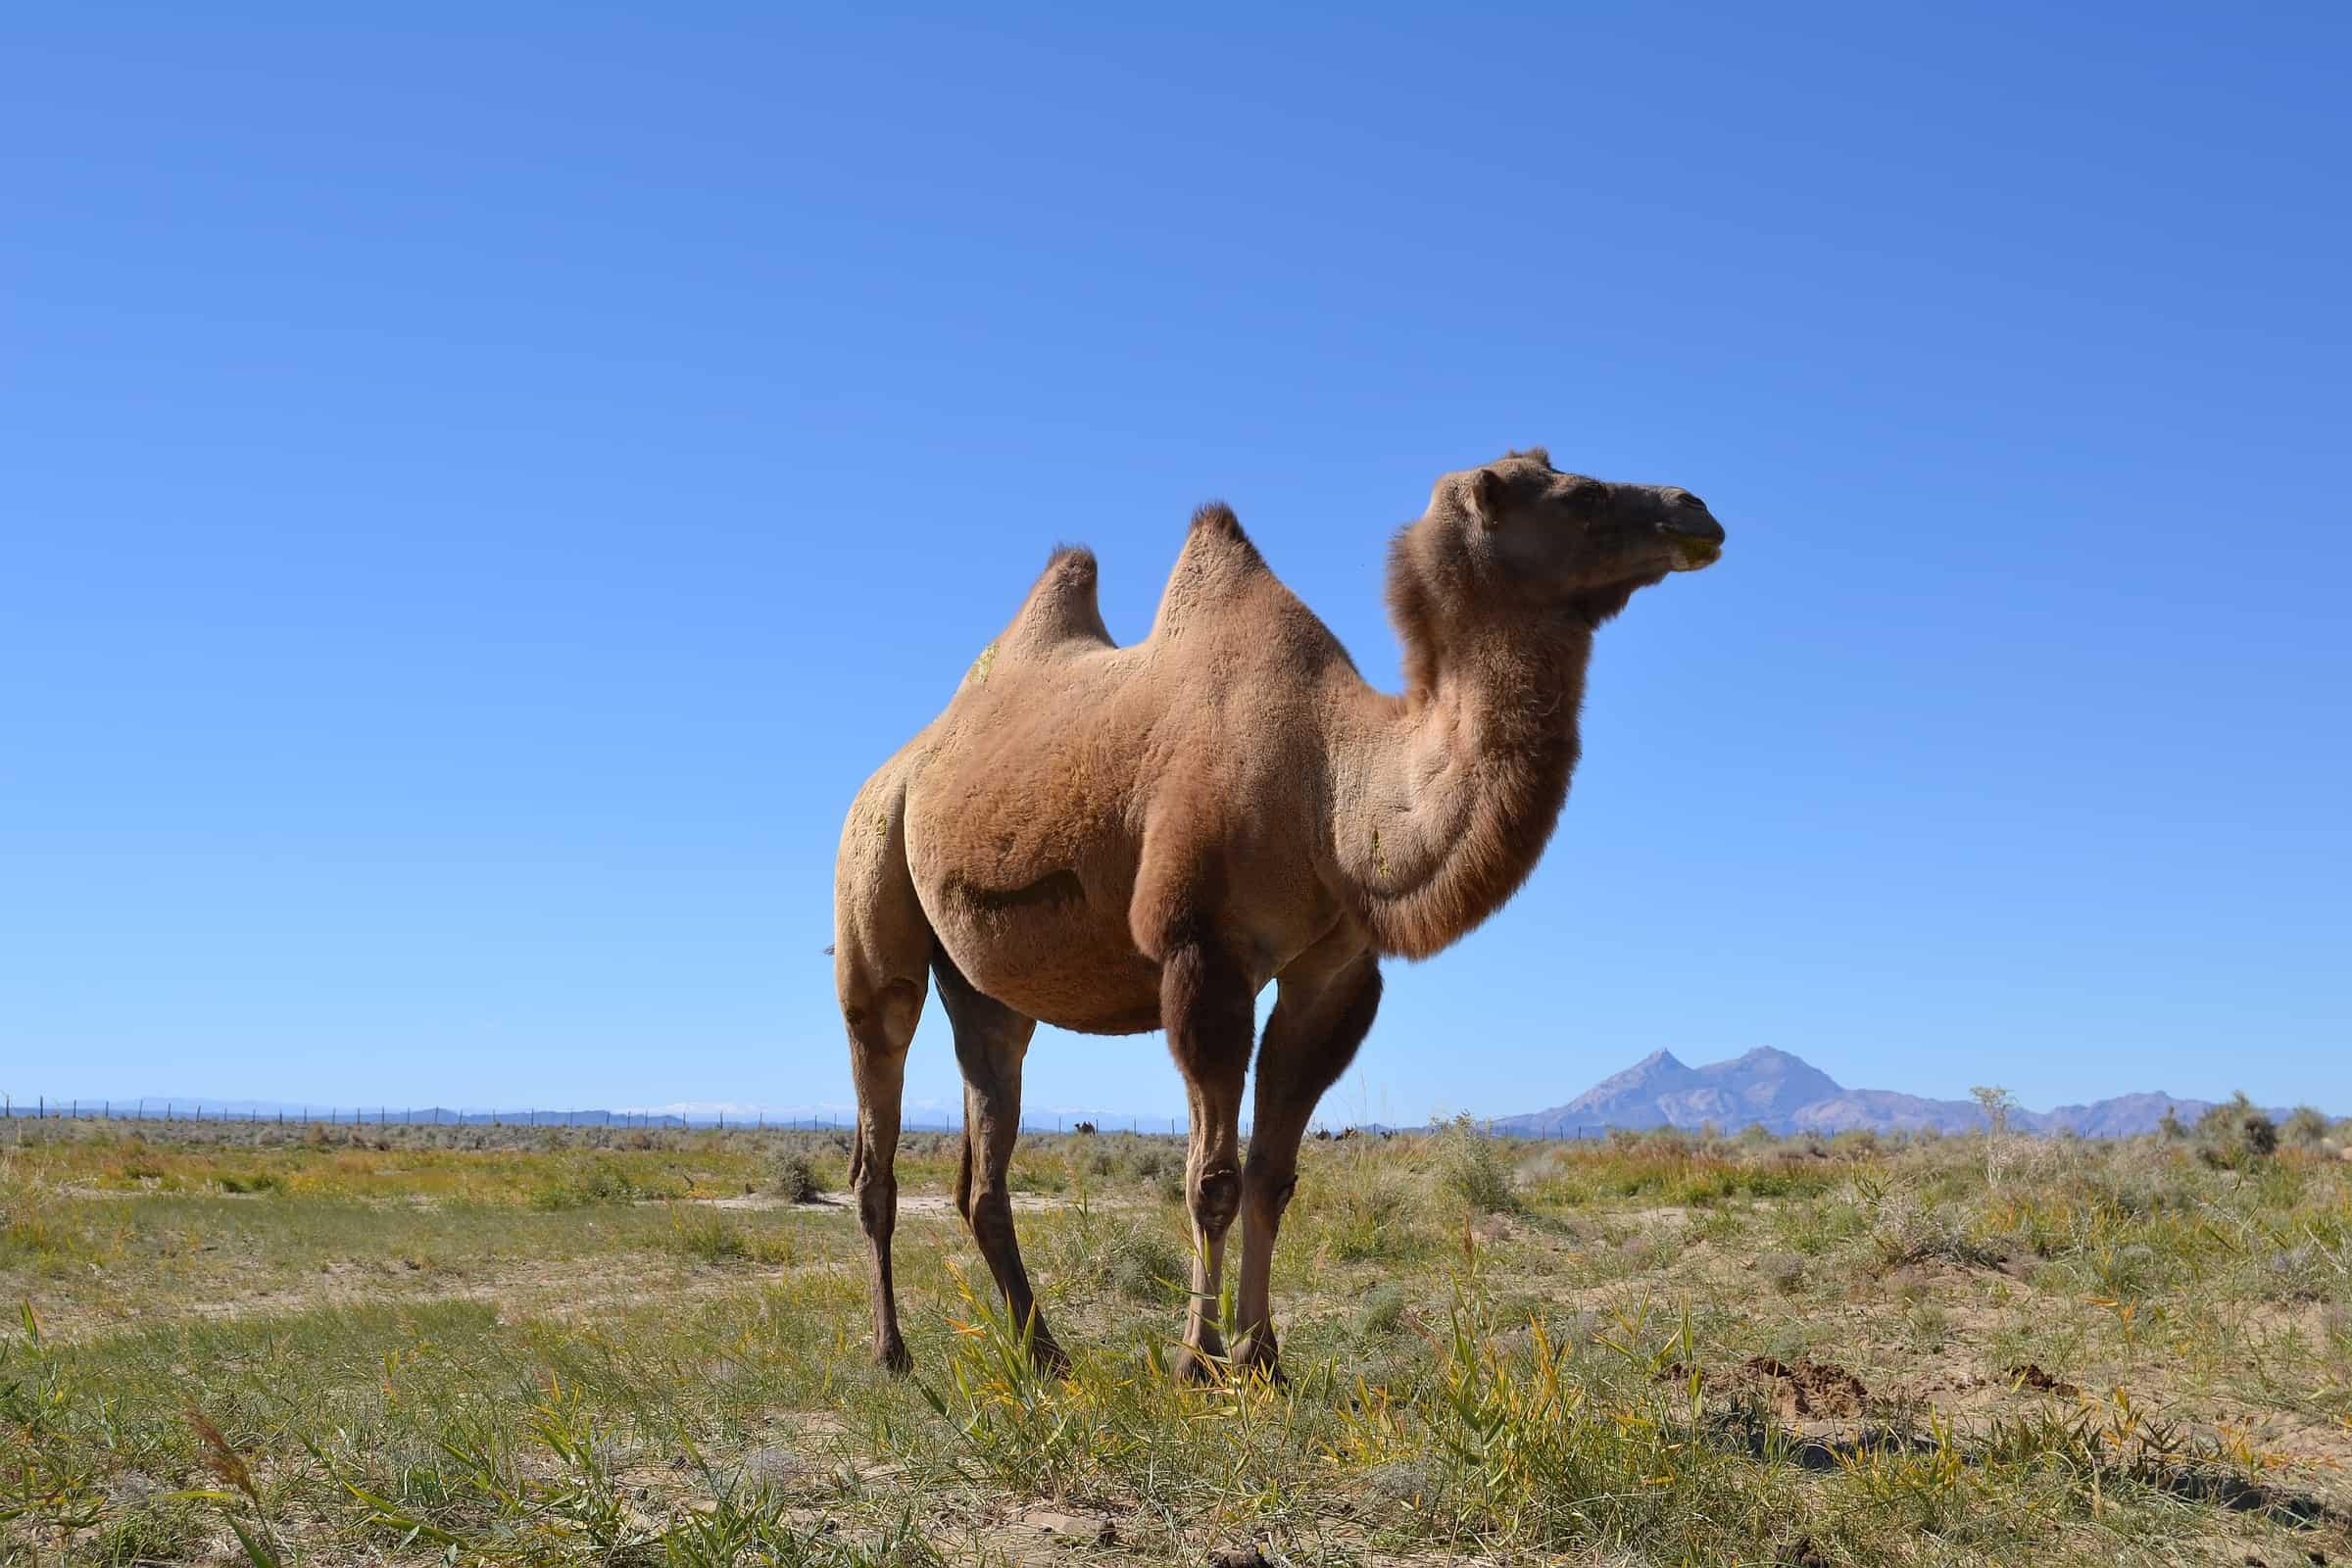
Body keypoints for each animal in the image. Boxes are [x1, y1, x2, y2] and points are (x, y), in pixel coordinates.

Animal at [837, 446, 1721, 1382]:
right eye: (1580, 495)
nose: (1695, 508)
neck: (1329, 782)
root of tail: (900, 764)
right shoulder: (1204, 953)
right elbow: (1211, 1178)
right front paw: (1196, 1360)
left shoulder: (1331, 975)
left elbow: (1273, 1174)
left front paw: (1263, 1357)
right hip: (872, 878)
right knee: (878, 1116)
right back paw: (892, 1353)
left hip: (987, 988)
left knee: (984, 1155)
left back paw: (1046, 1354)